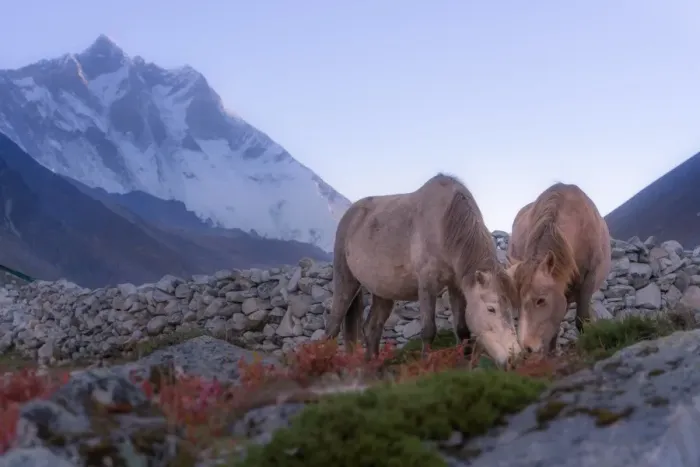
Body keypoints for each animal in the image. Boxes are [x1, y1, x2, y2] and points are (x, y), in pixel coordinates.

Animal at [324, 173, 522, 368]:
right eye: (491, 309)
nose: (514, 358)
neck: (445, 224)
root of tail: (350, 214)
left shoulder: (456, 286)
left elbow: (462, 329)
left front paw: (466, 366)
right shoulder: (427, 284)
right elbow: (428, 329)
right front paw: (425, 365)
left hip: (382, 292)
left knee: (371, 327)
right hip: (346, 281)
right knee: (333, 326)